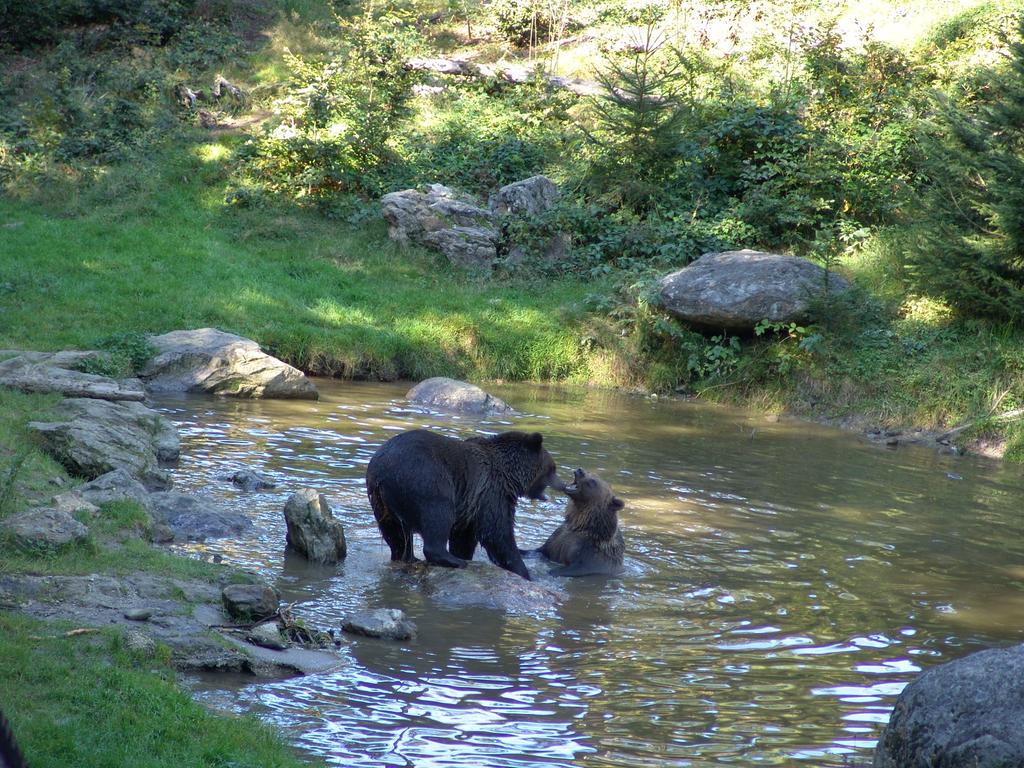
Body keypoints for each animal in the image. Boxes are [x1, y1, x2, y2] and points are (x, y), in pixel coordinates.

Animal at [366, 430, 565, 581]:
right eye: (553, 468)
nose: (563, 484)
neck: (510, 475)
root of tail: (381, 472)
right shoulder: (492, 492)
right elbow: (498, 533)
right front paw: (524, 571)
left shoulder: (472, 504)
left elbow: (465, 537)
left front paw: (463, 553)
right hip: (427, 480)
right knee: (438, 516)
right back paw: (453, 560)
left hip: (381, 503)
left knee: (396, 536)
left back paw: (408, 558)